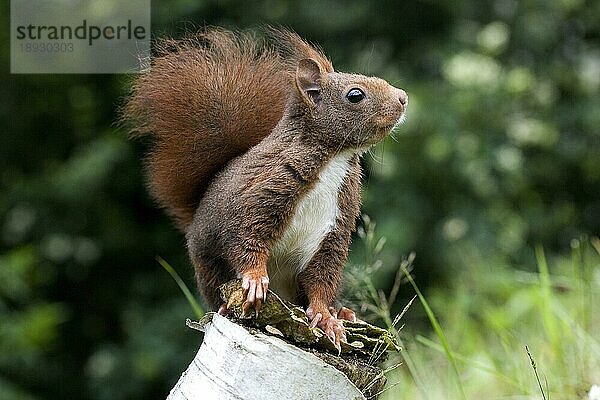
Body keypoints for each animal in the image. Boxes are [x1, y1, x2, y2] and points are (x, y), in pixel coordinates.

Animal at [125, 28, 410, 346]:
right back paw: (225, 306)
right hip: (209, 265)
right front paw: (254, 280)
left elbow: (322, 279)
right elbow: (247, 239)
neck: (334, 159)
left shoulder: (336, 225)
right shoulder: (261, 195)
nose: (403, 97)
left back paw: (343, 312)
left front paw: (326, 317)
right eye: (355, 95)